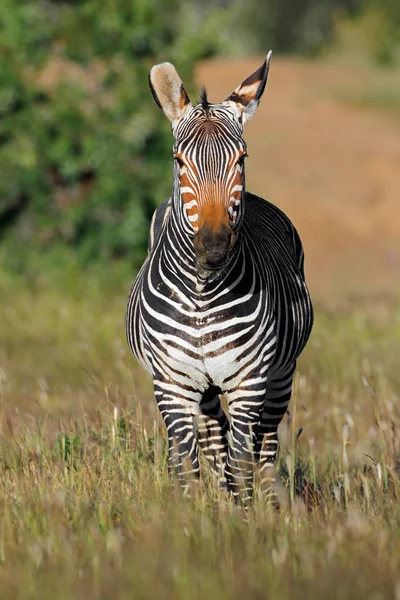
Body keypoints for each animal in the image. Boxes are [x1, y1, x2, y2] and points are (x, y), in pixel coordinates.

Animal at [125, 51, 312, 504]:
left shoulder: (250, 382)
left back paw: (271, 503)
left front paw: (242, 519)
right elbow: (187, 469)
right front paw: (195, 519)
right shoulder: (172, 385)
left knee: (265, 446)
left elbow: (241, 466)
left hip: (282, 374)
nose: (213, 249)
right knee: (213, 439)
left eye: (241, 159)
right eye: (179, 161)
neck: (202, 295)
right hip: (205, 390)